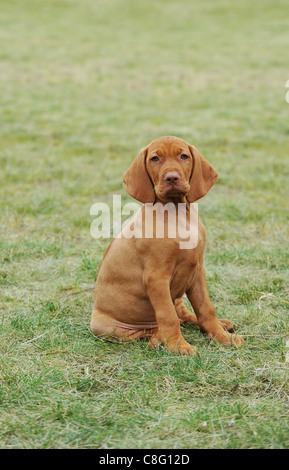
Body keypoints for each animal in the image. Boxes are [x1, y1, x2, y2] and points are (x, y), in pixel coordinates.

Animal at [90, 134, 243, 354]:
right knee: (150, 329)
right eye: (155, 158)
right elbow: (167, 316)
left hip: (178, 297)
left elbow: (206, 309)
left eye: (184, 156)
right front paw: (179, 346)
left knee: (183, 315)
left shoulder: (197, 271)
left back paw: (222, 324)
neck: (176, 213)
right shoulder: (156, 278)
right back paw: (157, 338)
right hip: (104, 326)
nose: (171, 178)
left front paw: (222, 337)